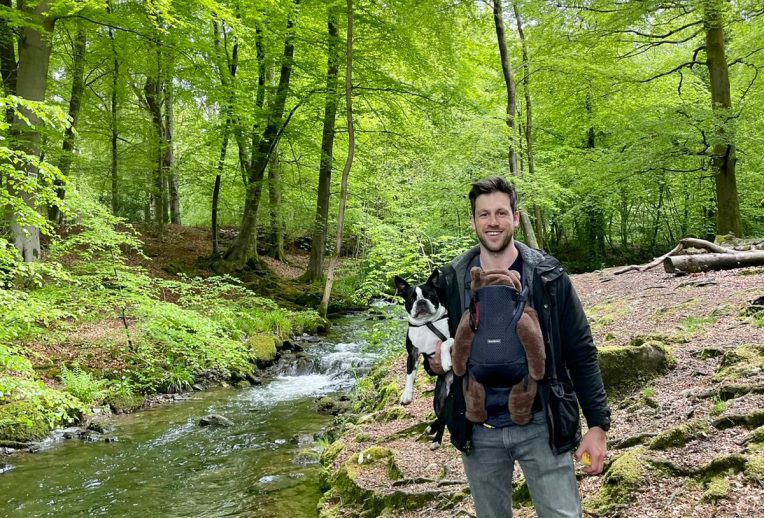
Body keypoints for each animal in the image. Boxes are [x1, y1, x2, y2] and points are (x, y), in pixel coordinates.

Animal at [394, 270, 454, 448]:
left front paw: (446, 362)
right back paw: (434, 435)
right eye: (411, 299)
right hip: (439, 399)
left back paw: (435, 436)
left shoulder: (455, 336)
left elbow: (444, 343)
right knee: (443, 416)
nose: (421, 302)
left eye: (430, 296)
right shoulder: (412, 353)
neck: (426, 323)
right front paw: (406, 395)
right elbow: (409, 375)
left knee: (445, 417)